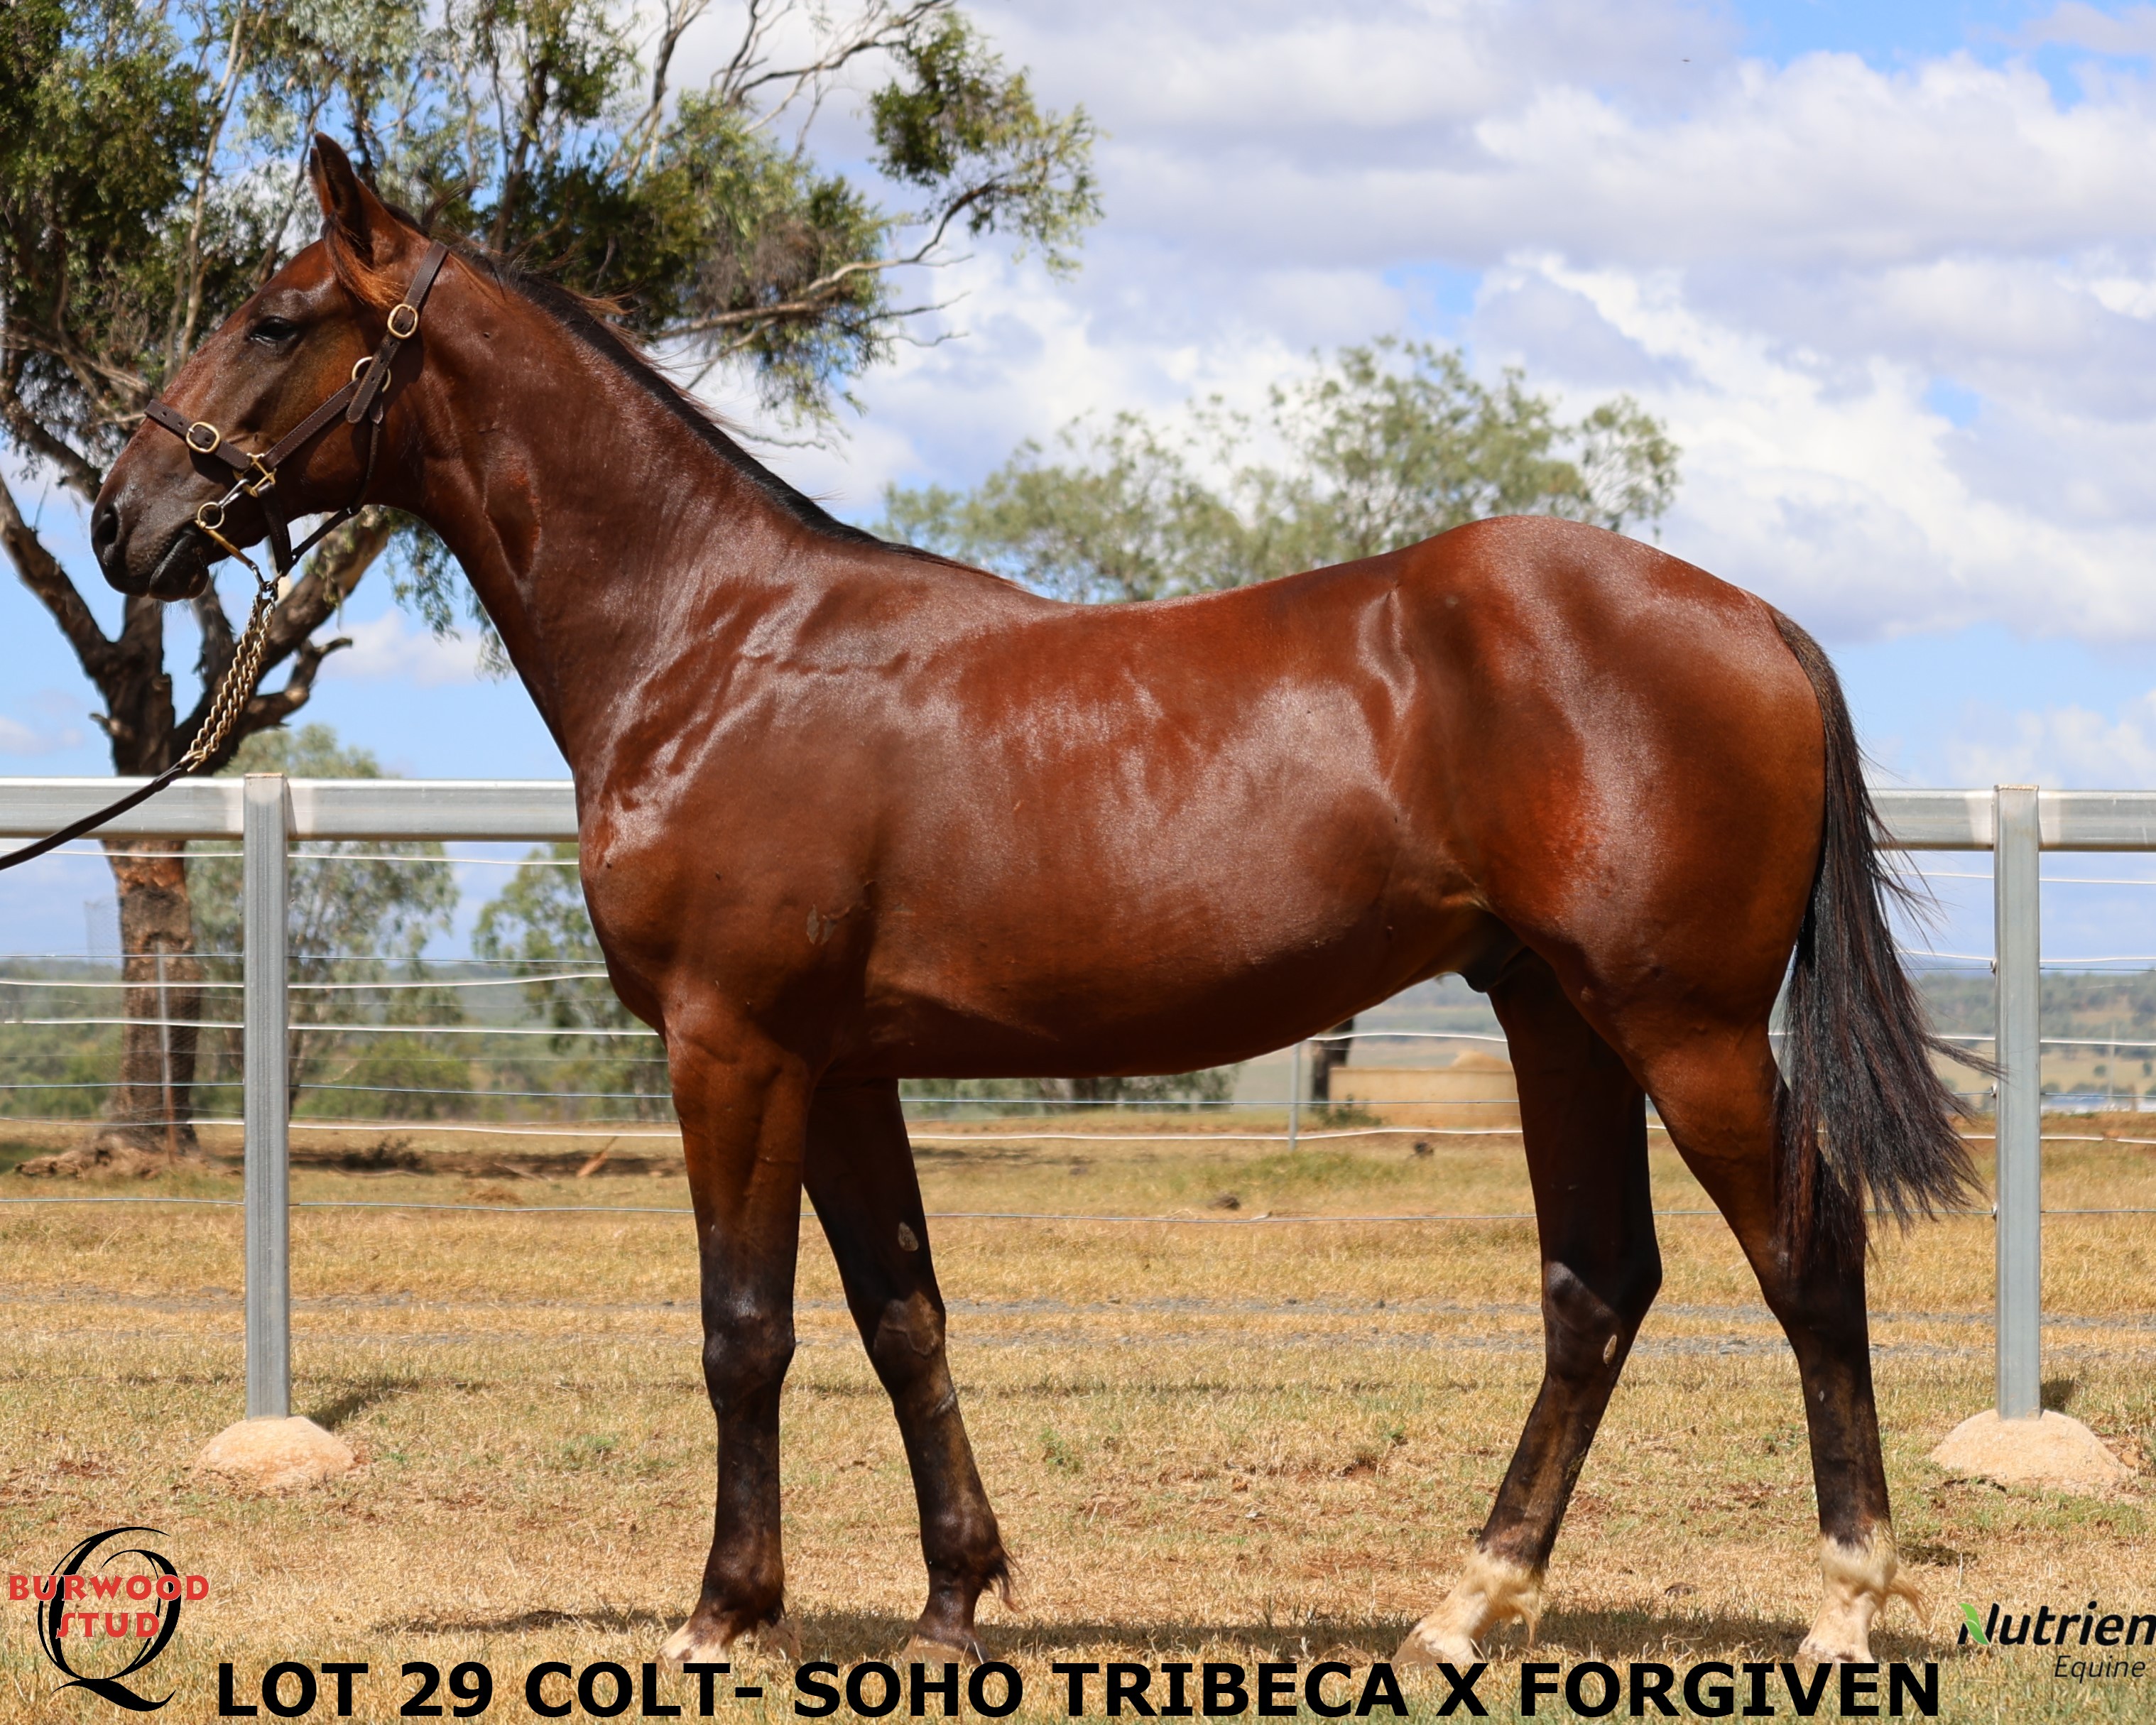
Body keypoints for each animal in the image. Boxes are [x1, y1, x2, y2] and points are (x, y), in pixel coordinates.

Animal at [93, 136, 1974, 1669]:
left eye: (274, 317)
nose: (124, 520)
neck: (715, 646)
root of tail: (1754, 620)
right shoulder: (842, 1064)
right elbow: (900, 1315)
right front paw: (951, 1597)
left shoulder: (731, 1047)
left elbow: (744, 1330)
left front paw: (724, 1614)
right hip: (1551, 1015)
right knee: (1596, 1286)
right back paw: (1461, 1608)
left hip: (1683, 1025)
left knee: (1805, 1260)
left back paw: (1840, 1607)